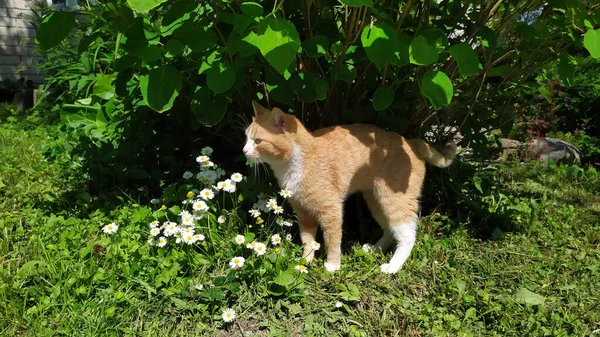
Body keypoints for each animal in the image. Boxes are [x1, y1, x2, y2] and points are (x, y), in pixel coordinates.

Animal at [241, 100, 458, 272]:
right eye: (246, 137)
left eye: (258, 141)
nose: (243, 150)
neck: (295, 162)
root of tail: (411, 142)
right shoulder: (303, 212)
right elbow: (308, 240)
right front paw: (305, 262)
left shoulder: (331, 210)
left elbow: (332, 240)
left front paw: (332, 265)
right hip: (376, 200)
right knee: (389, 229)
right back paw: (374, 248)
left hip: (395, 201)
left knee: (407, 235)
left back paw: (392, 266)